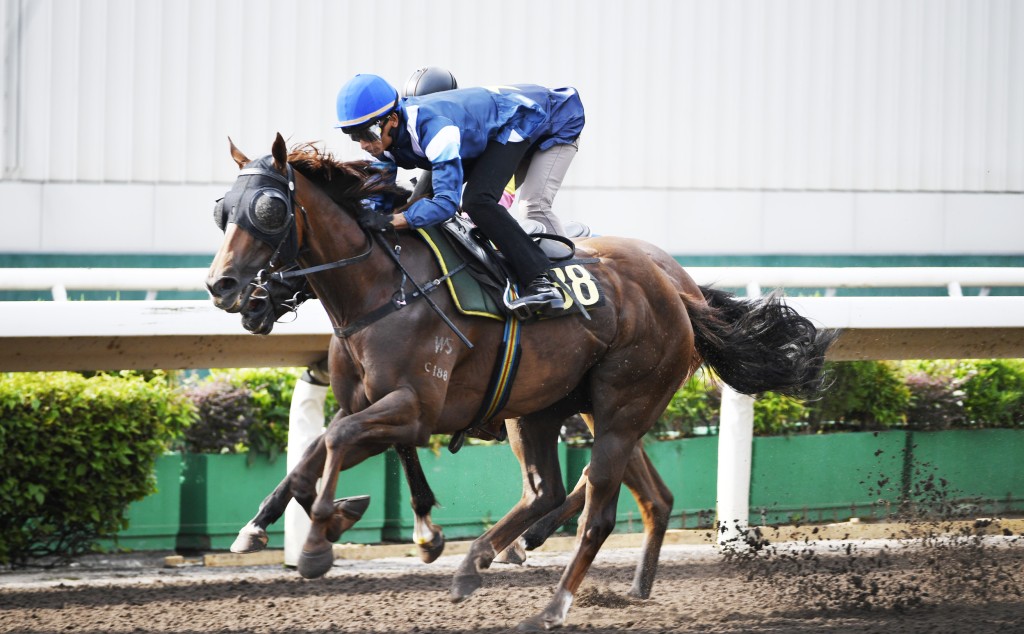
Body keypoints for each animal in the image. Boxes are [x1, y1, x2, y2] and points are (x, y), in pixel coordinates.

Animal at [205, 134, 831, 630]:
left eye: (269, 209)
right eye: (223, 210)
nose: (226, 287)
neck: (383, 290)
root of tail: (679, 292)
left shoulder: (414, 408)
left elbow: (333, 443)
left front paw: (320, 545)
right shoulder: (365, 405)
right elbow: (309, 458)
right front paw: (280, 525)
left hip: (622, 405)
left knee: (596, 509)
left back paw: (549, 607)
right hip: (540, 408)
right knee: (556, 491)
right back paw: (483, 562)